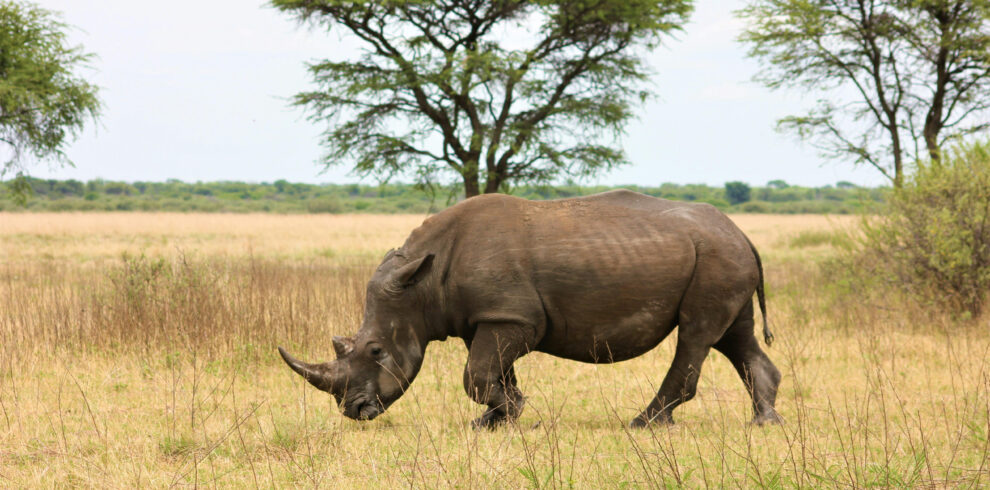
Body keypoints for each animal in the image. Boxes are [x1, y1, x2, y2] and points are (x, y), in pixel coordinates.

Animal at [278, 190, 783, 428]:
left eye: (377, 352)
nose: (355, 411)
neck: (421, 285)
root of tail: (742, 232)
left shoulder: (511, 317)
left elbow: (477, 375)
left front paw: (514, 414)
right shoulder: (491, 317)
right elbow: (493, 373)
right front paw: (495, 420)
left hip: (715, 257)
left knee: (696, 333)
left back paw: (644, 424)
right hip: (721, 256)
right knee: (733, 336)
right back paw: (764, 422)